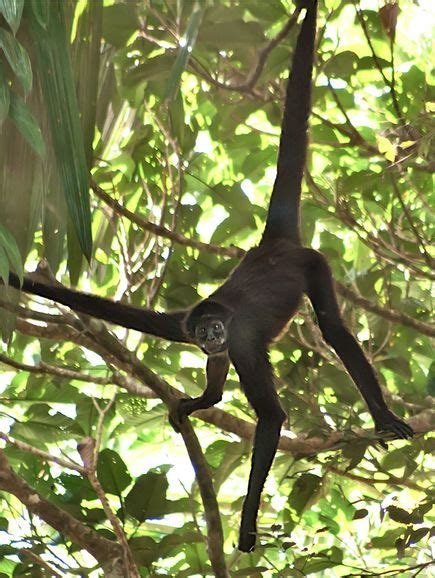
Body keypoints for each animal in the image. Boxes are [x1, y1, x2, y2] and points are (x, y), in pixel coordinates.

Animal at [6, 0, 416, 552]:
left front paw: (246, 521)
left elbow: (273, 417)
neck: (215, 322)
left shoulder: (239, 339)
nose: (211, 337)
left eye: (216, 328)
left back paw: (383, 415)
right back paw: (208, 398)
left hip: (314, 264)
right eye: (201, 331)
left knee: (332, 329)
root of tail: (271, 246)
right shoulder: (179, 323)